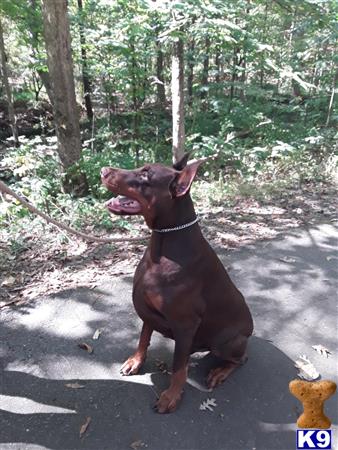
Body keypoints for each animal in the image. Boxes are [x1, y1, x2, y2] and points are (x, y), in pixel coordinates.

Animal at [101, 156, 254, 414]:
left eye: (146, 175)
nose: (103, 170)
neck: (164, 240)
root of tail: (250, 329)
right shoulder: (149, 310)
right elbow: (143, 337)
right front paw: (136, 361)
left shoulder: (185, 323)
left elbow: (178, 367)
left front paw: (171, 396)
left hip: (226, 341)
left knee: (240, 359)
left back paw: (220, 372)